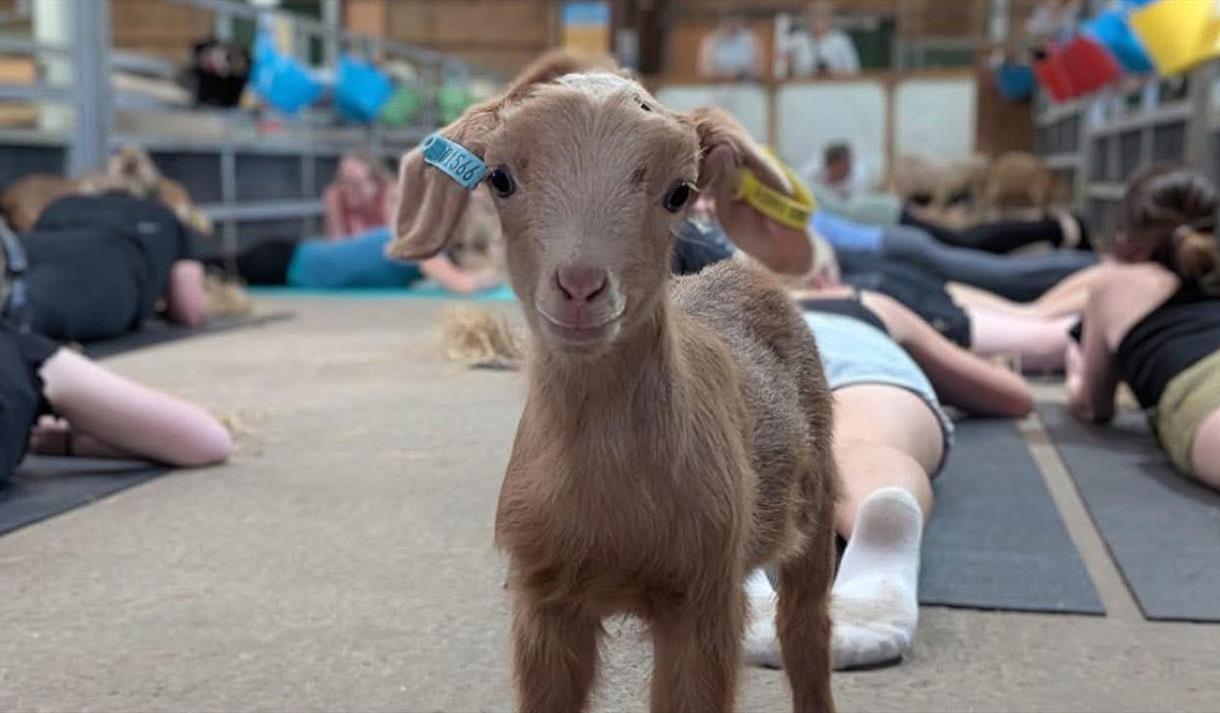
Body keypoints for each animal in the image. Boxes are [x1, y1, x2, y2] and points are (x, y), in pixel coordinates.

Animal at [389, 56, 840, 713]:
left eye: (679, 191)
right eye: (499, 178)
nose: (580, 287)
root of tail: (738, 267)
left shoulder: (703, 598)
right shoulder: (543, 599)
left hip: (820, 499)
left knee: (805, 631)